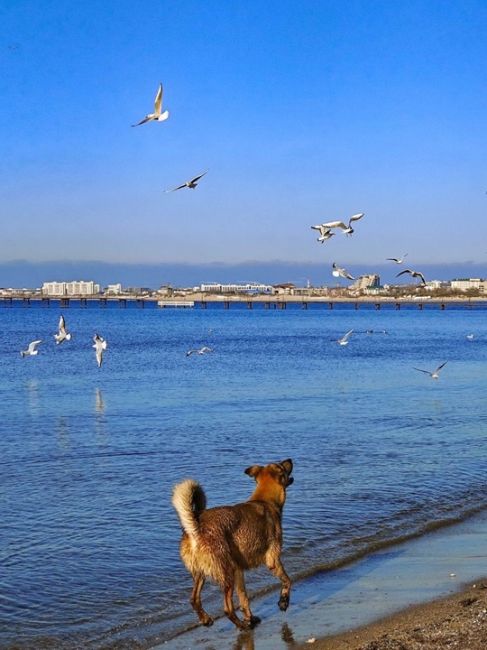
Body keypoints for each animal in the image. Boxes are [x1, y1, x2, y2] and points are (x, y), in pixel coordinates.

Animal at [172, 456, 294, 628]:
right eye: (282, 465)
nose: (289, 459)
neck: (264, 500)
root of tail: (195, 528)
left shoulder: (238, 570)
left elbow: (243, 598)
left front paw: (250, 617)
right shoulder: (273, 560)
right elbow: (287, 580)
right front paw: (283, 602)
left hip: (201, 572)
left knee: (194, 599)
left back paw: (207, 619)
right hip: (226, 571)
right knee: (227, 608)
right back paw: (242, 626)